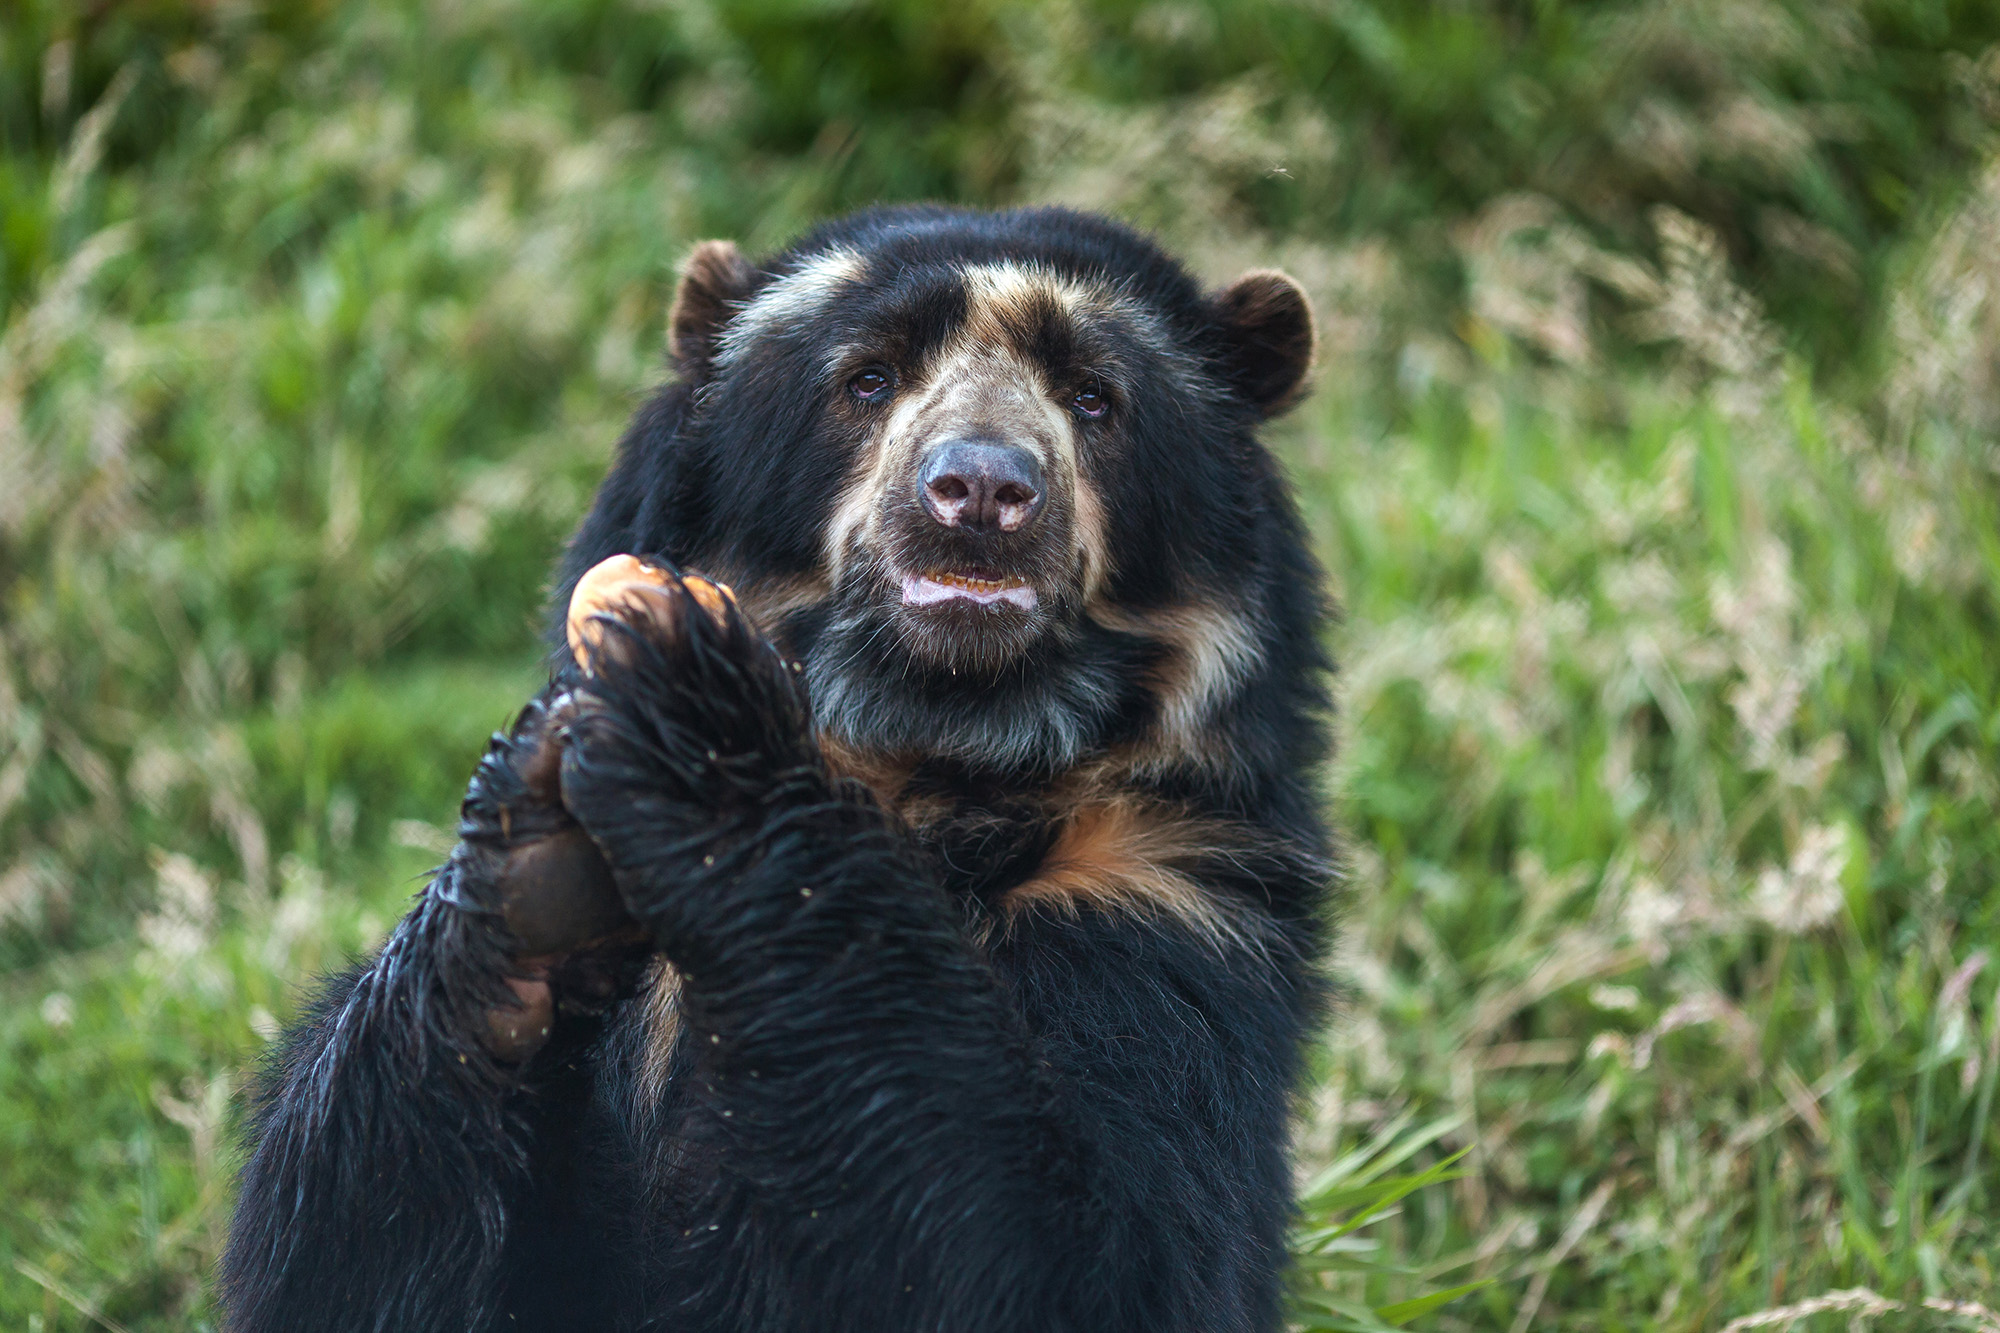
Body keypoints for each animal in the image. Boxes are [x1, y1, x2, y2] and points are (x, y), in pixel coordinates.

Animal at [220, 204, 1334, 1333]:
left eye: (1094, 397)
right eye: (868, 379)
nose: (980, 492)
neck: (933, 755)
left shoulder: (1167, 895)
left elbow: (1070, 1250)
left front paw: (689, 702)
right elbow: (340, 1243)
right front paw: (534, 864)